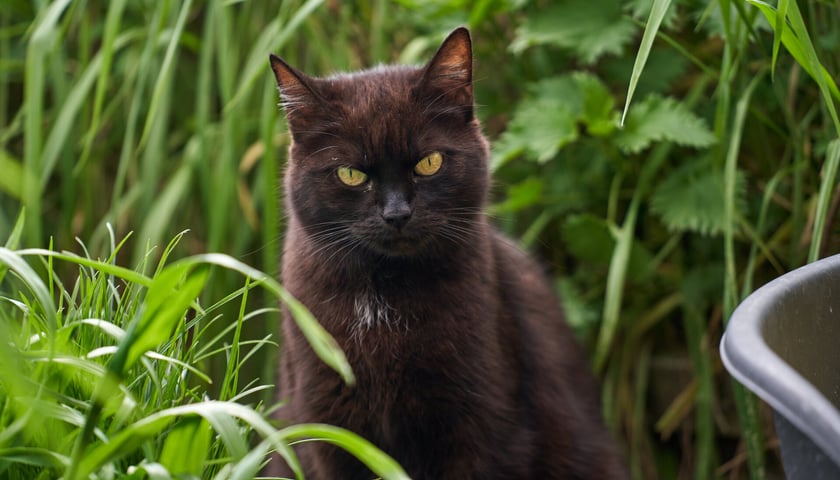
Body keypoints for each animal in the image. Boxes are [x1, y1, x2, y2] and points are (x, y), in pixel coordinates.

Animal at [266, 27, 628, 480]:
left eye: (430, 162)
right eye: (350, 174)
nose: (397, 214)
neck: (383, 302)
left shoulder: (482, 428)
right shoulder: (330, 427)